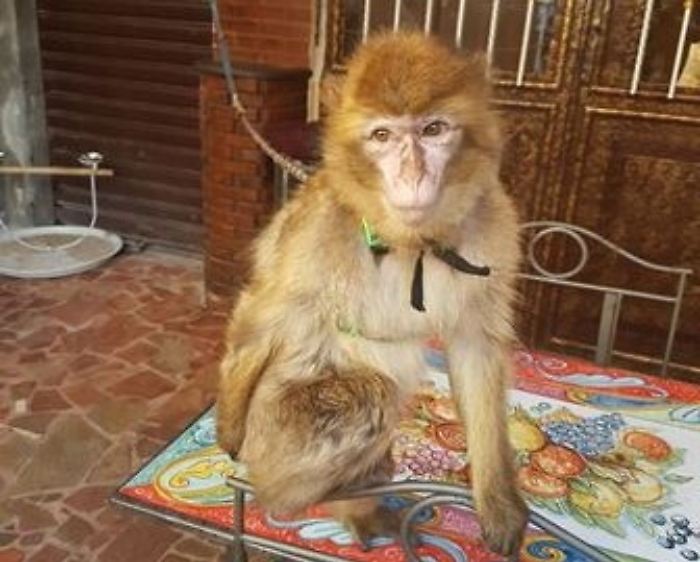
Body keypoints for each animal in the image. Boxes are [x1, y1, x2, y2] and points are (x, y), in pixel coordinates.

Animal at [217, 32, 529, 557]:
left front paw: (497, 501)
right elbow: (262, 316)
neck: (410, 244)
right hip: (275, 436)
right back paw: (307, 496)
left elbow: (475, 348)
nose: (412, 174)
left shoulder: (495, 229)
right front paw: (225, 433)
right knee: (370, 396)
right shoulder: (316, 234)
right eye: (382, 136)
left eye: (433, 129)